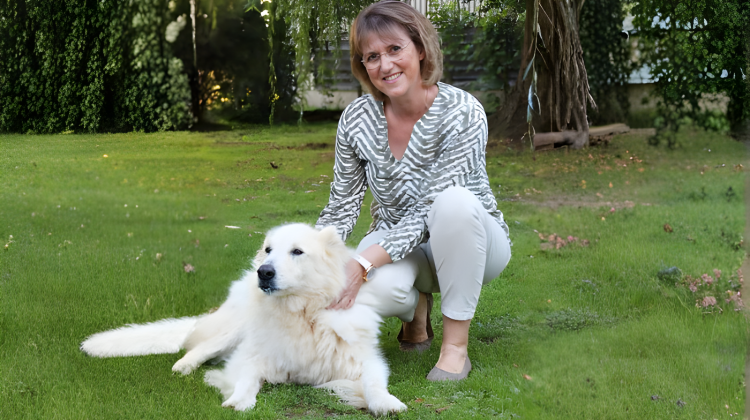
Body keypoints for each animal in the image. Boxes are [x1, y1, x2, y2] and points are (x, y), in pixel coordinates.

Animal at [81, 223, 407, 415]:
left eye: (297, 252)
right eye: (269, 250)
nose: (264, 272)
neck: (303, 313)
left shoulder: (366, 361)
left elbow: (375, 384)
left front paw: (388, 403)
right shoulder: (251, 356)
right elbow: (246, 379)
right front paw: (237, 401)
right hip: (233, 330)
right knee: (197, 347)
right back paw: (184, 366)